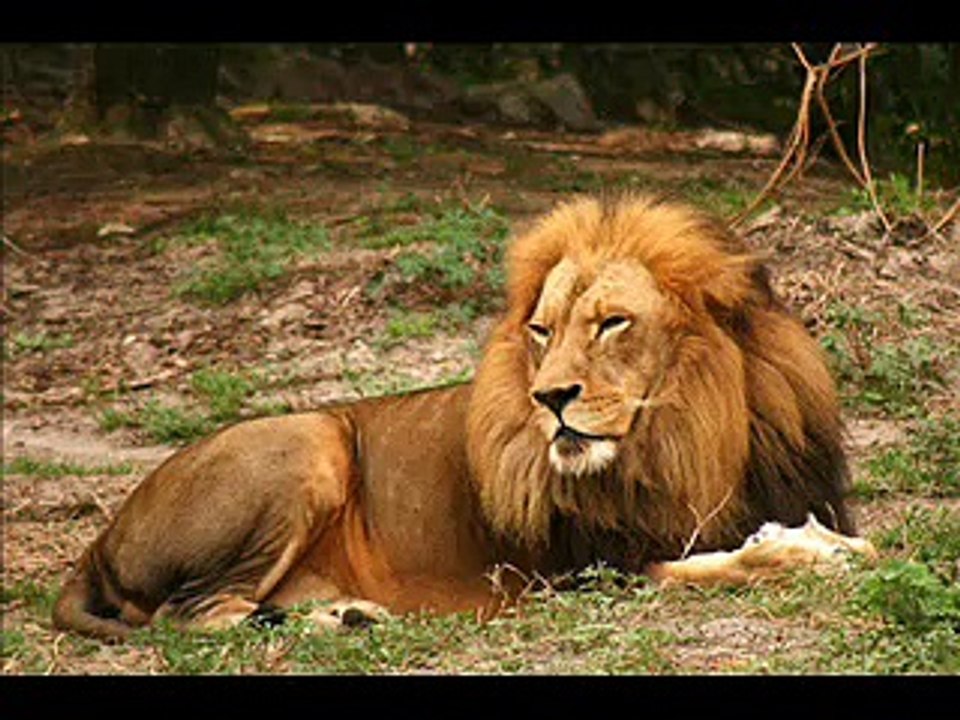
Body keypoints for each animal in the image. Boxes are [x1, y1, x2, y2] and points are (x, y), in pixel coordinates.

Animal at [53, 194, 869, 640]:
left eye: (612, 323)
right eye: (541, 331)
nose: (550, 398)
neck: (693, 432)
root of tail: (98, 538)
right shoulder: (586, 571)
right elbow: (725, 564)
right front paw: (811, 555)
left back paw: (345, 616)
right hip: (310, 439)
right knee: (188, 613)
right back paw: (335, 623)